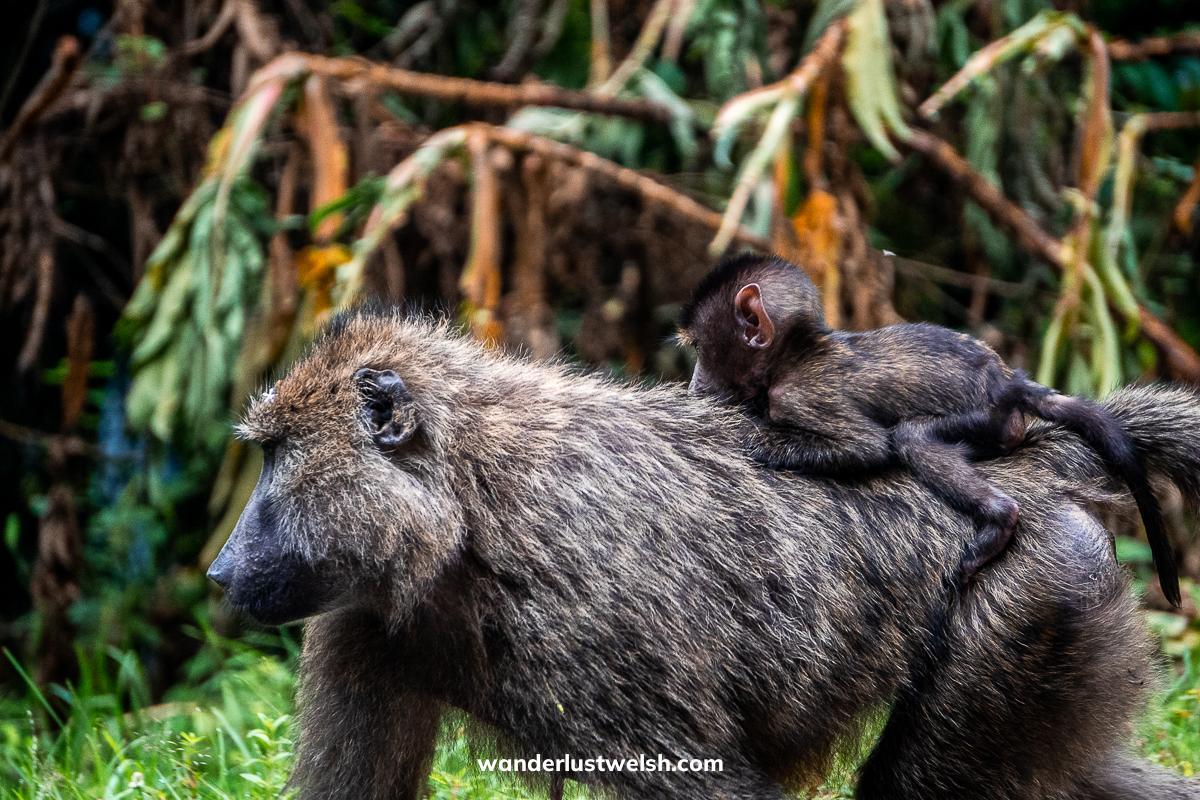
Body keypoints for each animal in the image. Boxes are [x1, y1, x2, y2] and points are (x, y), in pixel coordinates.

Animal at [207, 309, 1200, 799]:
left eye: (275, 457)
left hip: (1023, 597)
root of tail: (1031, 461)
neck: (465, 511)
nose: (220, 570)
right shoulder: (363, 622)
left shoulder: (594, 633)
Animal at [677, 253, 1181, 606]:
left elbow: (868, 447)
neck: (796, 354)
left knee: (912, 439)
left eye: (700, 348)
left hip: (985, 417)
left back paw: (999, 517)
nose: (695, 383)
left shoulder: (800, 393)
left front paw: (761, 442)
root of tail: (1009, 381)